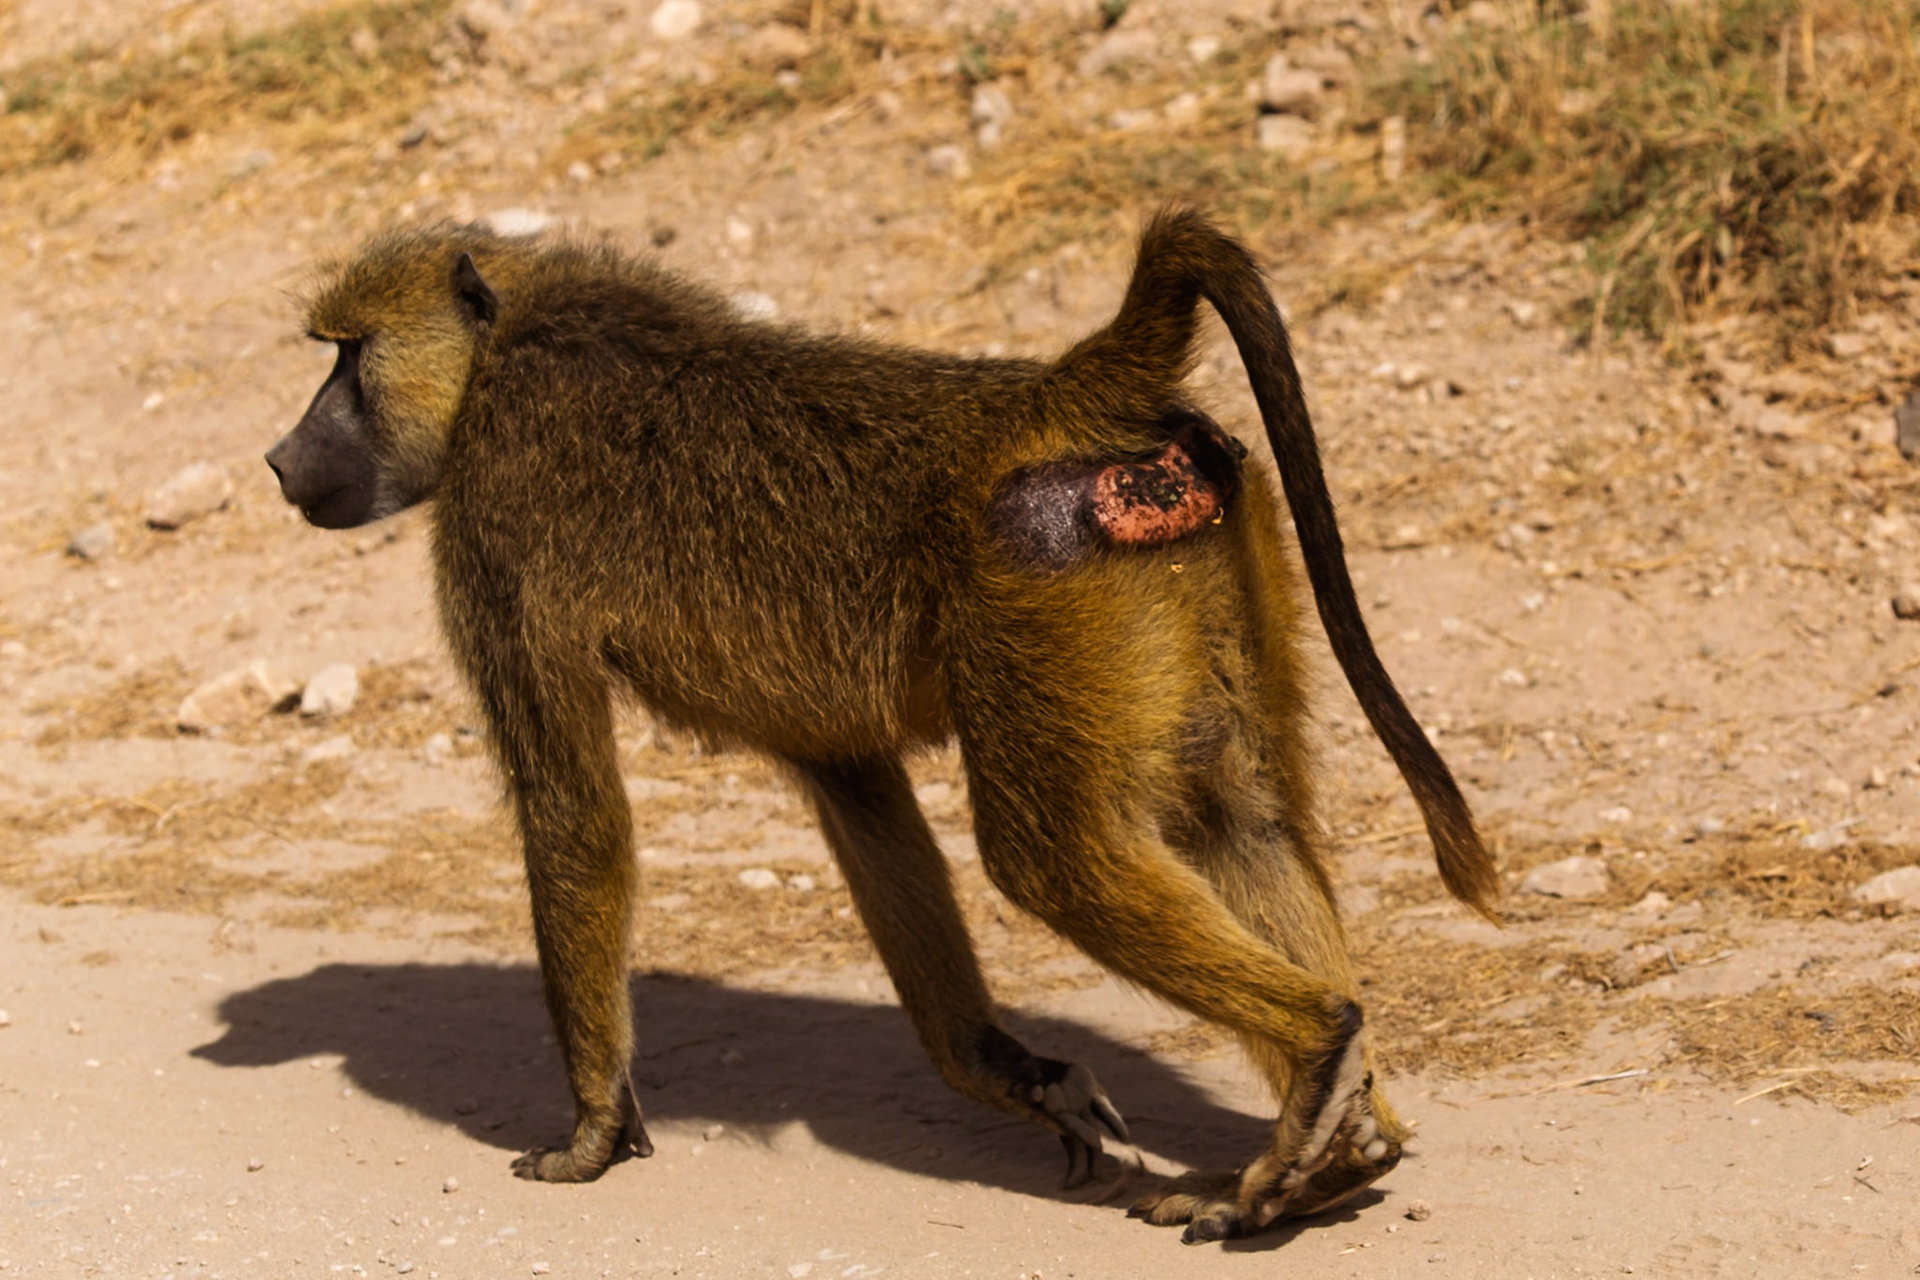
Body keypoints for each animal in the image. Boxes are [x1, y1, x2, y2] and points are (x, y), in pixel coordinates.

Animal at [265, 208, 1498, 1244]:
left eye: (347, 359)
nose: (279, 459)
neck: (504, 345)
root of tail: (1051, 396)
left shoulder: (496, 524)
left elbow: (574, 815)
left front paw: (593, 1134)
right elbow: (860, 792)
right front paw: (1012, 1073)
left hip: (1035, 574)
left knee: (1051, 860)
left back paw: (1320, 1062)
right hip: (1200, 557)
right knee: (1242, 820)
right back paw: (1345, 1144)